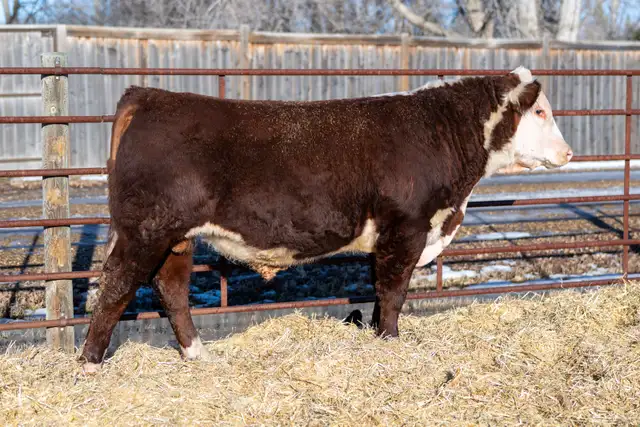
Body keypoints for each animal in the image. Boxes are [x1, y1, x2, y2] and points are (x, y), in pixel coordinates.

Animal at [79, 66, 572, 373]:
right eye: (540, 111)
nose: (568, 153)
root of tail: (147, 95)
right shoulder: (406, 228)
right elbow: (394, 293)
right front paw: (391, 342)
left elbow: (380, 292)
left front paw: (377, 335)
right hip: (146, 230)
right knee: (117, 286)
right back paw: (88, 363)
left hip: (177, 237)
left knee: (172, 289)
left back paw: (197, 353)